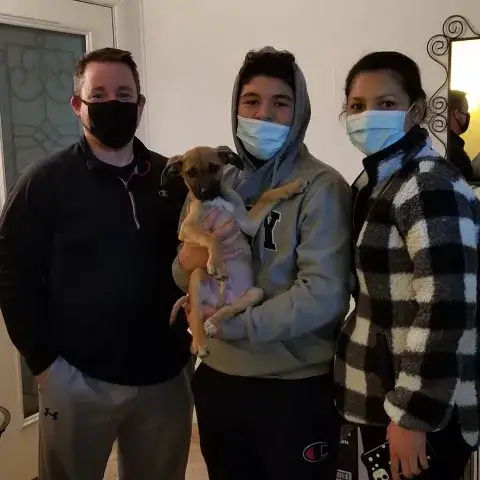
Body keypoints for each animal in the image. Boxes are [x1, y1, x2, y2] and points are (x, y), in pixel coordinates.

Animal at [162, 145, 308, 358]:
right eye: (190, 173)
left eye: (214, 167)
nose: (205, 192)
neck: (217, 200)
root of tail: (219, 302)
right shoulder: (187, 228)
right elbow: (213, 237)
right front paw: (217, 264)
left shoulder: (247, 223)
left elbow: (267, 195)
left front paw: (293, 186)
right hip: (197, 276)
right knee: (195, 313)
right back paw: (199, 343)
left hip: (255, 292)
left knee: (227, 311)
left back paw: (212, 323)